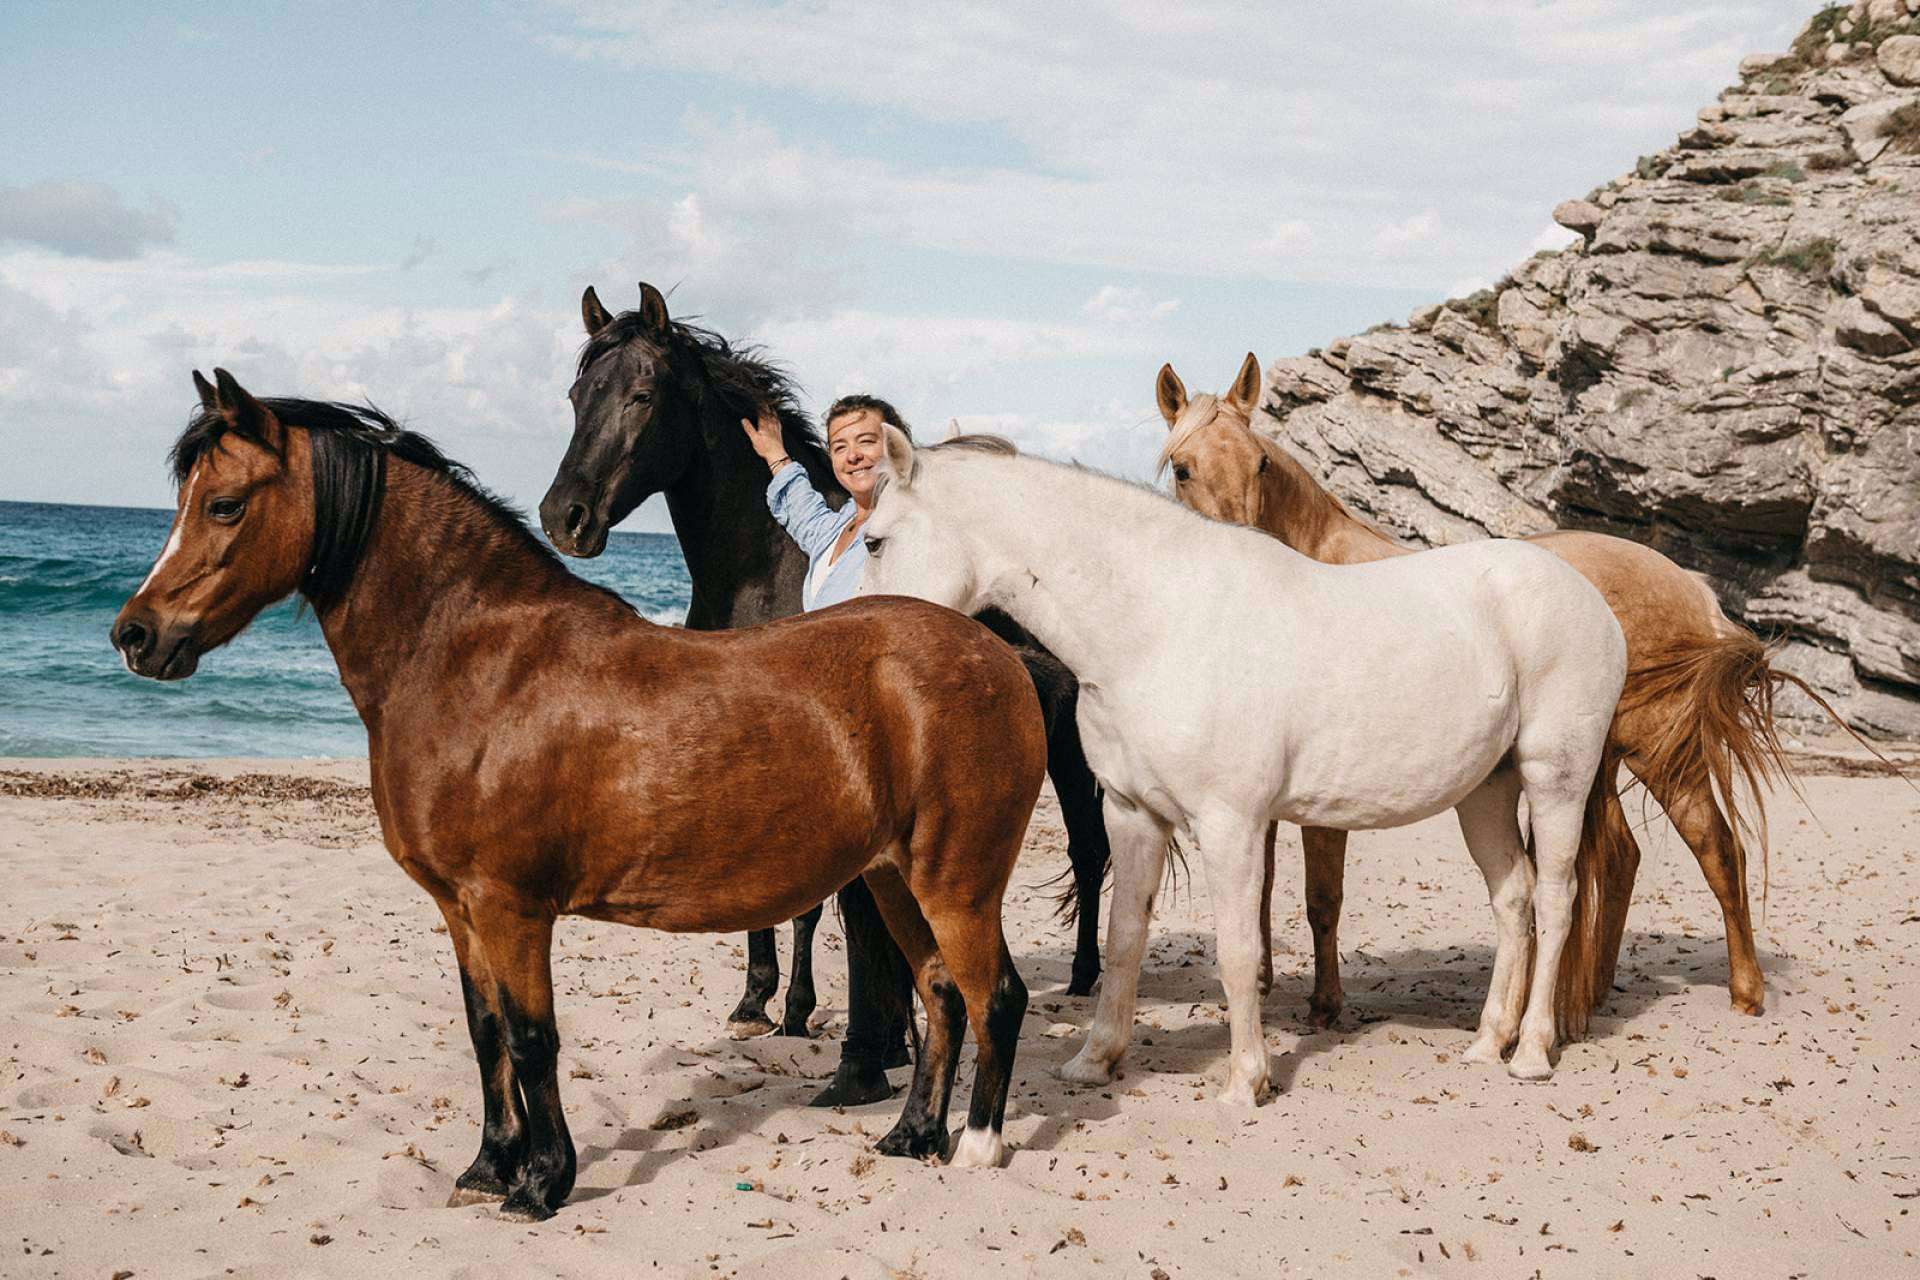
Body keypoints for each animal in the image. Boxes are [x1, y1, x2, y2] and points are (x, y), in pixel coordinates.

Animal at [113, 370, 1049, 1219]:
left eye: (224, 504)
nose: (135, 634)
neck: (476, 662)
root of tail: (998, 656)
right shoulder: (458, 908)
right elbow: (486, 1032)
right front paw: (487, 1167)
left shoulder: (510, 907)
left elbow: (533, 1039)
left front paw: (541, 1182)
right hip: (895, 878)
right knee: (940, 991)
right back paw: (911, 1135)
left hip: (957, 883)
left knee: (994, 996)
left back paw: (975, 1146)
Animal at [537, 283, 1113, 1102]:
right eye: (577, 395)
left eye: (642, 395)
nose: (565, 518)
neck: (763, 572)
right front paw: (760, 1001)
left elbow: (820, 903)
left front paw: (820, 1018)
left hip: (1069, 752)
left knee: (1091, 852)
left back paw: (1086, 976)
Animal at [857, 429, 1626, 1102]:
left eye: (874, 538)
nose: (864, 628)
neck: (1160, 625)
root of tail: (1592, 600)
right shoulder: (1134, 815)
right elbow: (1125, 937)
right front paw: (1096, 1060)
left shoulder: (1230, 824)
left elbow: (1237, 951)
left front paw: (1246, 1080)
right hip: (1486, 791)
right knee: (1513, 899)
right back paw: (1488, 1042)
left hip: (1555, 780)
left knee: (1554, 900)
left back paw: (1531, 1052)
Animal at [1155, 353, 1842, 1030]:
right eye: (1184, 468)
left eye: (1260, 463)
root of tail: (1693, 588)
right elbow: (1261, 887)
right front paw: (1262, 982)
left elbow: (1321, 896)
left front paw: (1325, 1005)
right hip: (1590, 761)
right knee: (1621, 858)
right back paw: (1589, 995)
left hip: (1660, 751)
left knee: (1719, 851)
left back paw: (1744, 992)